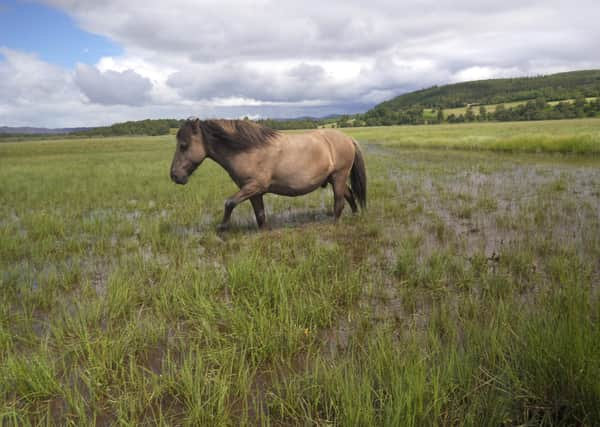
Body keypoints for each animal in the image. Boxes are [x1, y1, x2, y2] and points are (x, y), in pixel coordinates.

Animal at [169, 117, 366, 231]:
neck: (249, 150)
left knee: (339, 204)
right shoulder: (253, 192)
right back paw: (356, 215)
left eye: (184, 145)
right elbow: (260, 216)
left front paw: (222, 227)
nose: (175, 176)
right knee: (349, 195)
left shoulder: (254, 186)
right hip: (334, 179)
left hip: (339, 177)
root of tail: (348, 139)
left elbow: (229, 203)